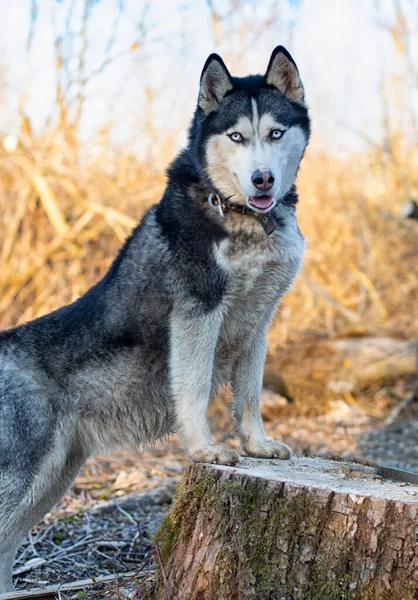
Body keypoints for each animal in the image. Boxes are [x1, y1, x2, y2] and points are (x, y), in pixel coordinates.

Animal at [0, 45, 310, 592]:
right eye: (236, 136)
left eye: (275, 133)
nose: (263, 180)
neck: (239, 215)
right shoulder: (197, 313)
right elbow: (195, 388)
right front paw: (205, 450)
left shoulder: (258, 322)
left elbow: (249, 396)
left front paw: (257, 444)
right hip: (26, 475)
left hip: (52, 478)